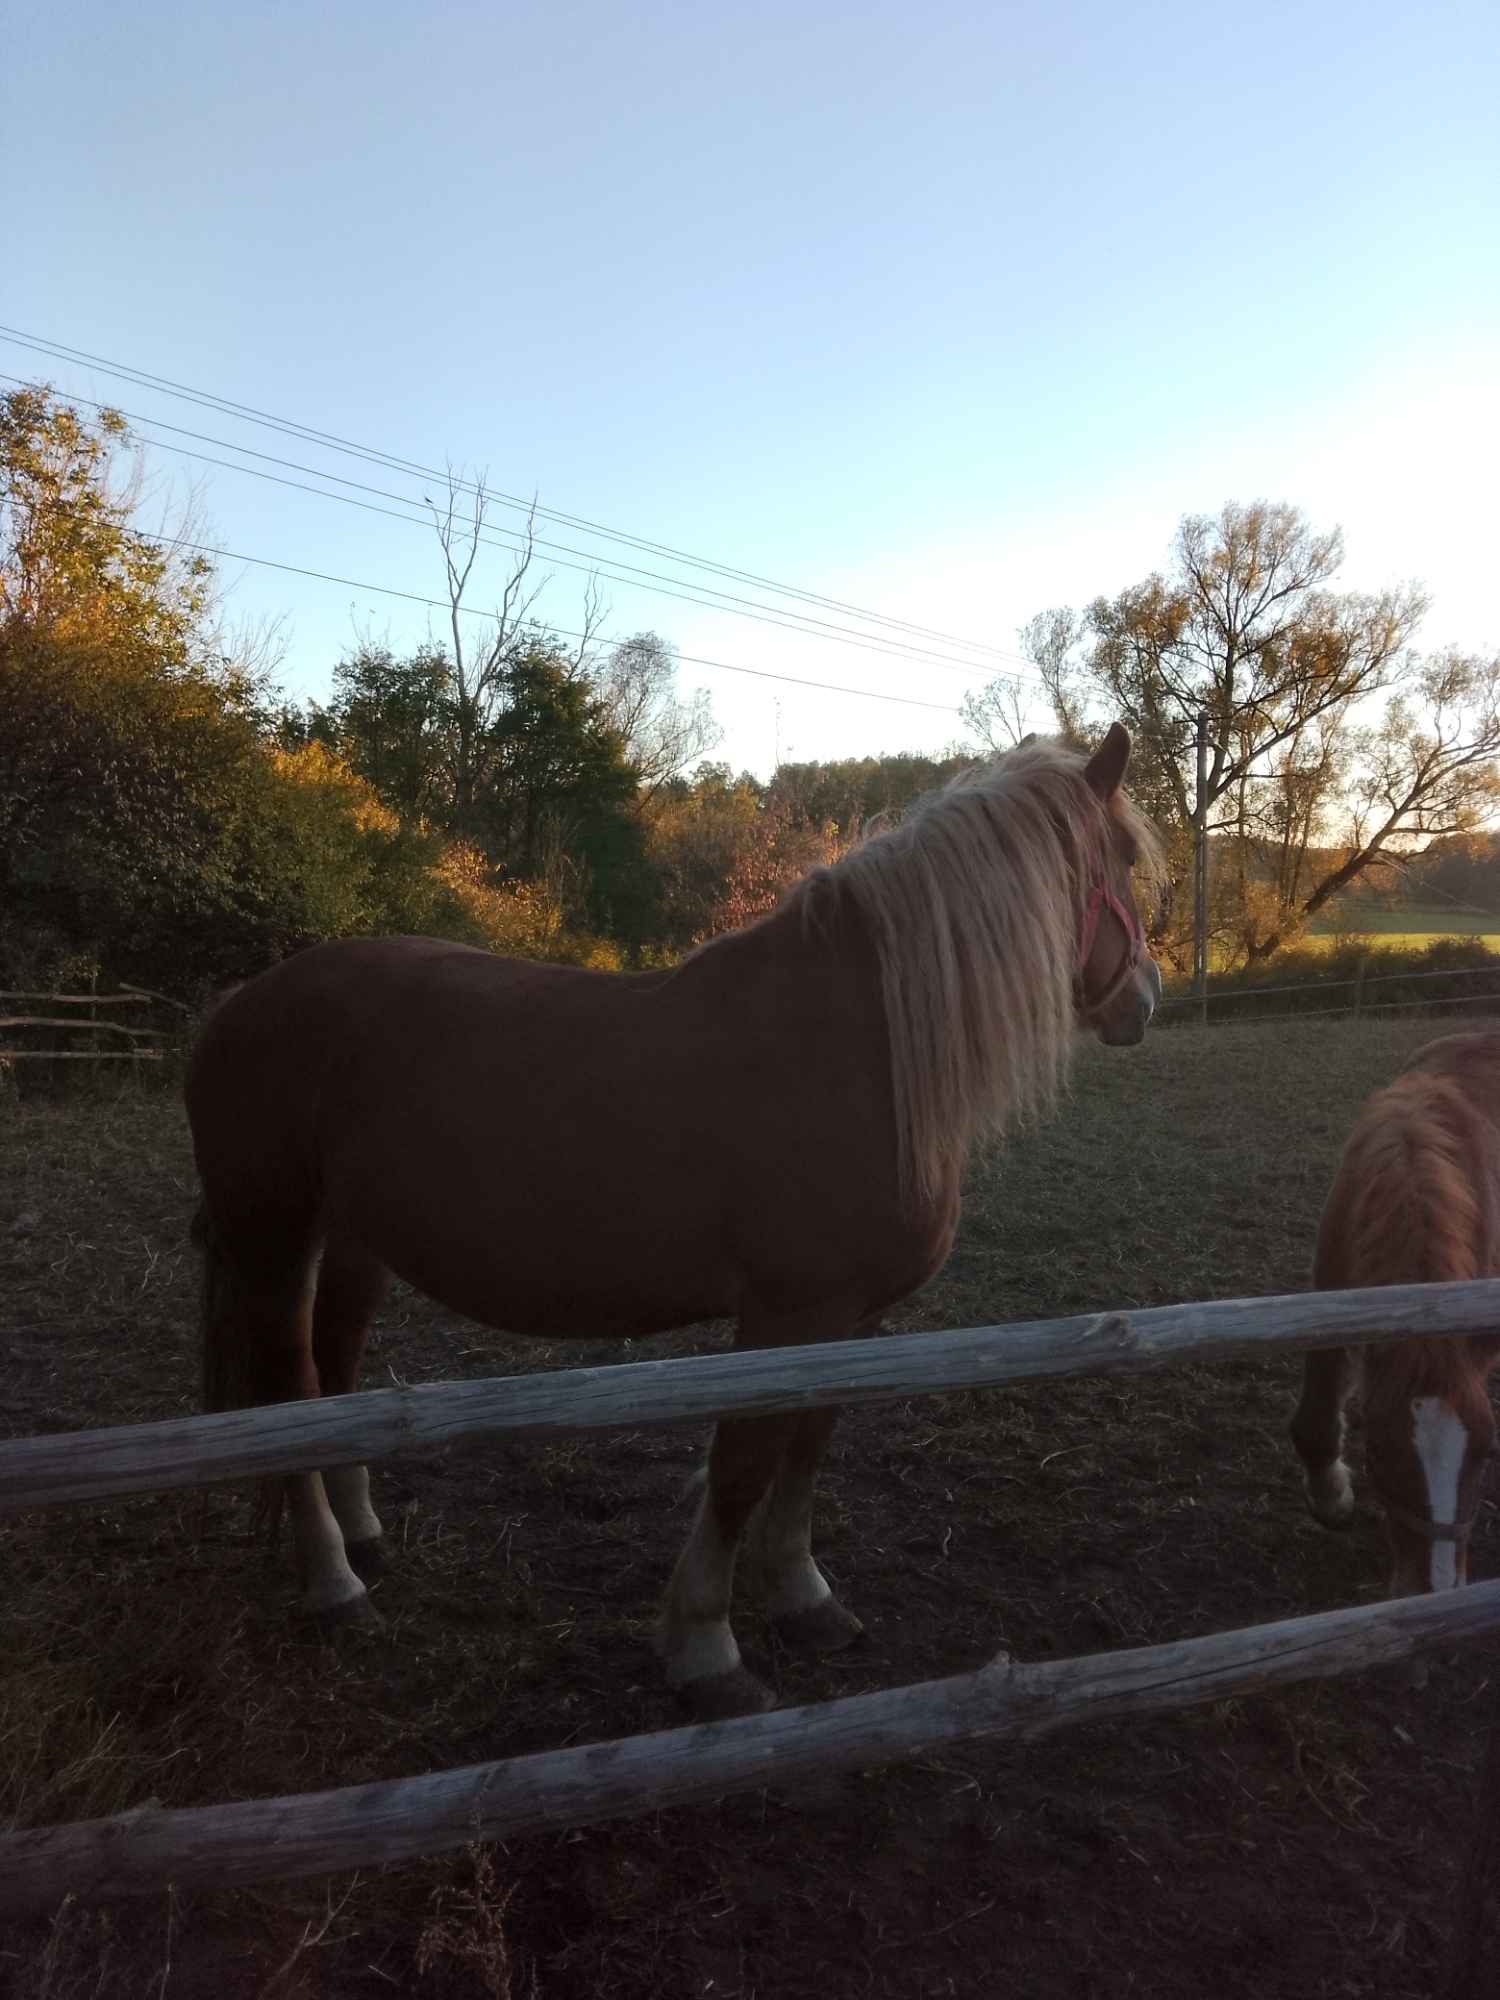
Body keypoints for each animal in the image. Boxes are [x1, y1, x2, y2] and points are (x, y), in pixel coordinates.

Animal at [191, 728, 1160, 1712]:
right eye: (1122, 858)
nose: (1145, 999)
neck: (855, 1050)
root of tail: (239, 1003)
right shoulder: (787, 1313)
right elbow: (742, 1466)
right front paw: (707, 1649)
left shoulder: (851, 1321)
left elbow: (807, 1450)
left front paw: (804, 1599)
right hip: (273, 1236)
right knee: (288, 1388)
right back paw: (332, 1583)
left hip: (355, 1239)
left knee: (335, 1375)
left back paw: (362, 1533)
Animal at [1296, 1040, 1500, 1600]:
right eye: (1379, 1454)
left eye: (1488, 1452)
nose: (1436, 1591)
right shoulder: (1329, 1298)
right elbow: (1315, 1418)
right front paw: (1331, 1495)